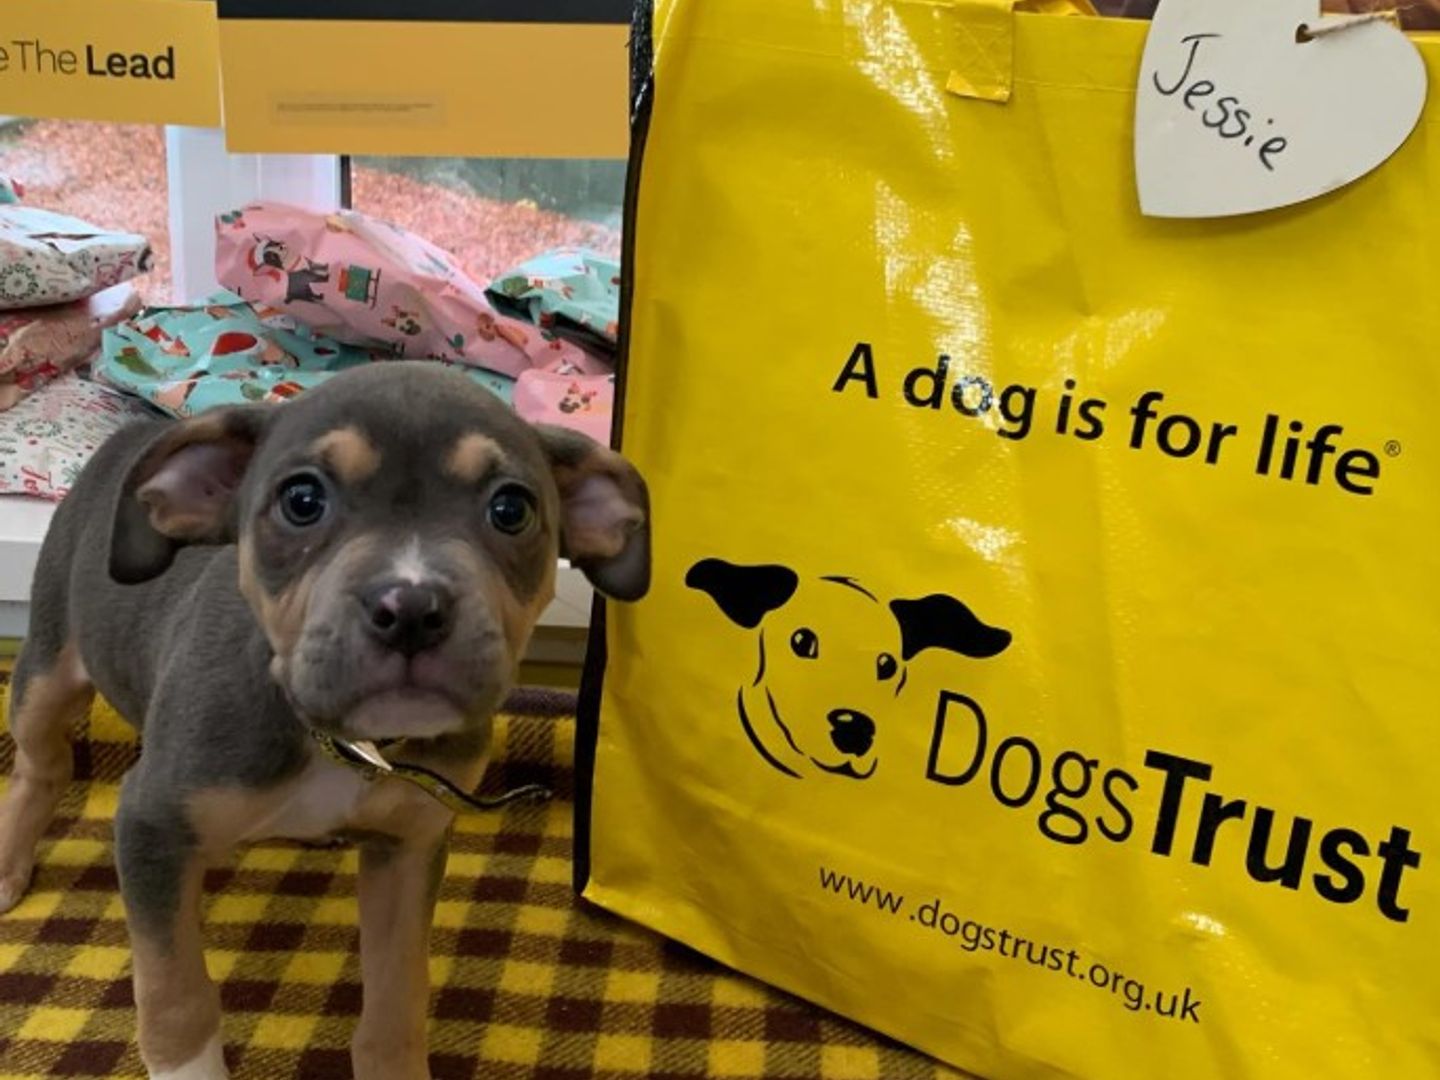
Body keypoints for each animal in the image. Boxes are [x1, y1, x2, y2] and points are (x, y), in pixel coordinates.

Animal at [0, 365, 648, 1080]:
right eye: (302, 500)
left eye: (511, 509)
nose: (411, 608)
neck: (344, 741)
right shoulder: (150, 827)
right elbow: (176, 997)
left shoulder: (408, 849)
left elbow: (397, 998)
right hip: (46, 666)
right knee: (40, 767)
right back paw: (8, 865)